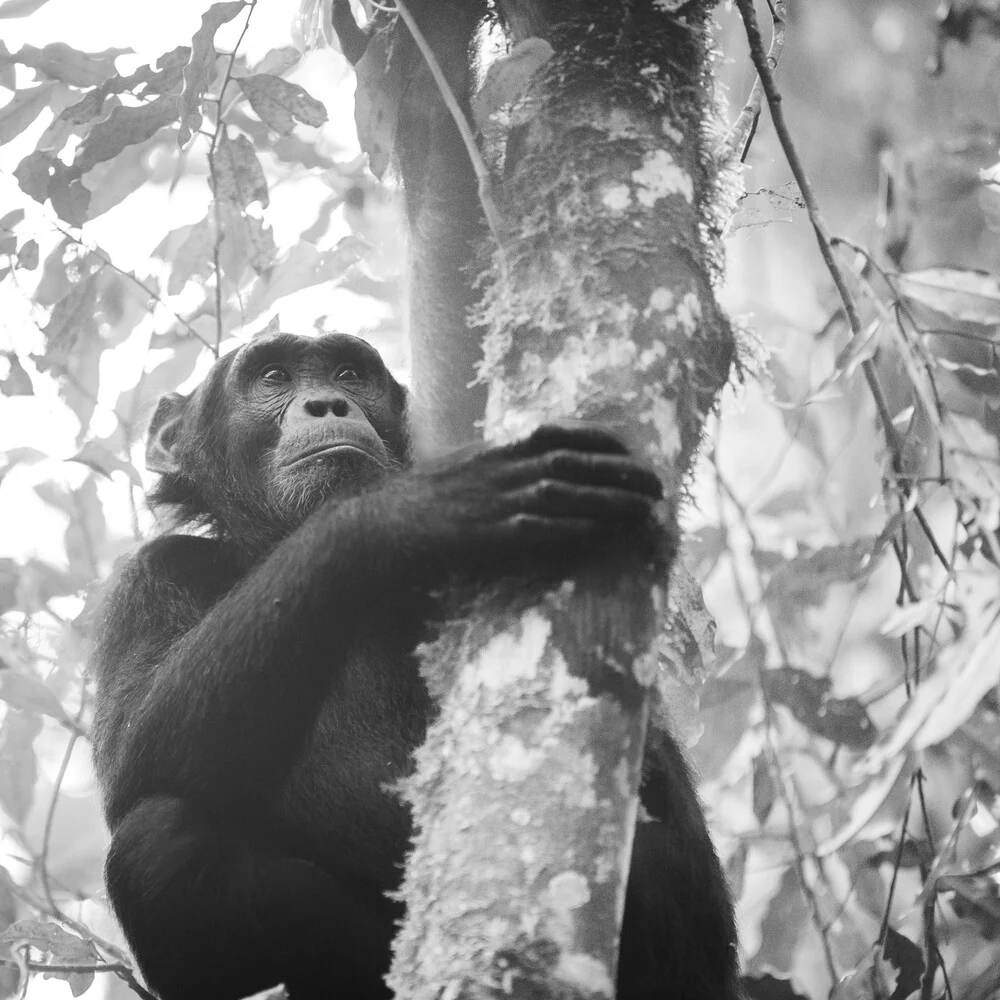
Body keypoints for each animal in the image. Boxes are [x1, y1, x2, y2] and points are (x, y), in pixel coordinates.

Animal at [90, 332, 740, 996]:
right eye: (273, 376)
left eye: (349, 373)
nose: (326, 403)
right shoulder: (148, 582)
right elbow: (137, 751)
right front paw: (412, 508)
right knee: (159, 839)